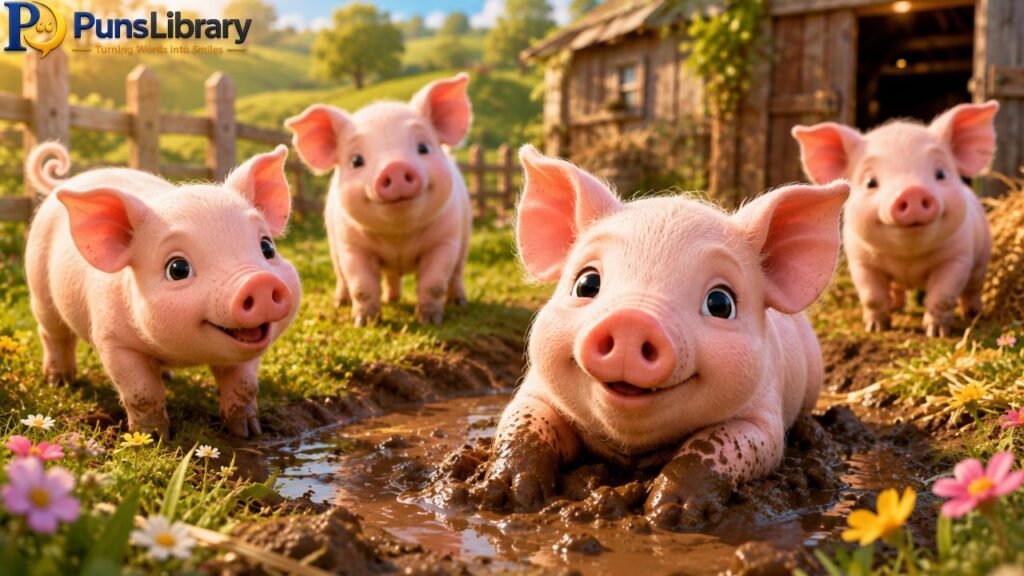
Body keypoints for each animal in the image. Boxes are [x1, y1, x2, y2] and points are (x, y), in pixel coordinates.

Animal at [24, 141, 301, 438]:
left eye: (267, 248)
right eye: (178, 269)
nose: (259, 281)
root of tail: (64, 183)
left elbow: (244, 386)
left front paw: (248, 433)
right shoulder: (112, 340)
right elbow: (142, 393)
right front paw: (153, 438)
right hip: (40, 289)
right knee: (53, 334)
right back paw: (59, 381)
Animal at [284, 73, 473, 326]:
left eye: (423, 147)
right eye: (356, 160)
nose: (395, 166)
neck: (398, 238)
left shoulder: (445, 241)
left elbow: (433, 284)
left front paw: (430, 320)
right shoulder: (351, 246)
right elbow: (362, 286)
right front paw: (363, 322)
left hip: (465, 237)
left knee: (456, 273)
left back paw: (458, 302)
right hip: (334, 247)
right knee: (347, 277)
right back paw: (352, 302)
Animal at [482, 146, 848, 526]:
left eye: (721, 303)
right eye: (586, 283)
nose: (632, 320)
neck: (631, 450)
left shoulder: (763, 423)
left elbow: (710, 445)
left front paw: (671, 513)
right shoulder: (535, 391)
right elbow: (524, 424)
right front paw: (506, 497)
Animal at [793, 101, 998, 337]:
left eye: (941, 174)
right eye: (871, 182)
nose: (913, 191)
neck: (907, 258)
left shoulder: (957, 258)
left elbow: (943, 297)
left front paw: (936, 332)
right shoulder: (861, 261)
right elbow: (872, 297)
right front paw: (876, 328)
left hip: (982, 258)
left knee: (973, 288)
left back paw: (973, 314)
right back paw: (896, 307)